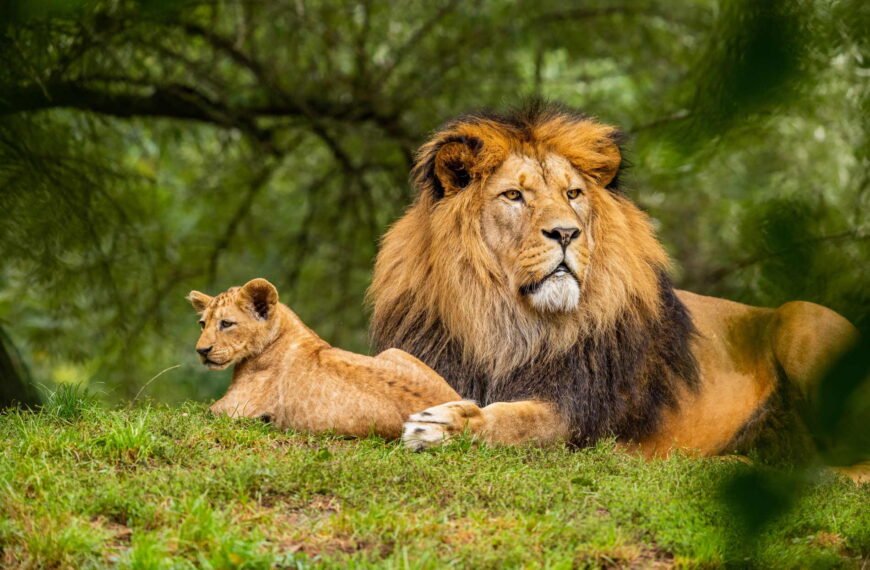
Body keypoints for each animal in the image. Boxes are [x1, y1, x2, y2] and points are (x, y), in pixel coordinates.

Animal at [186, 278, 460, 438]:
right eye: (202, 324)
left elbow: (194, 413)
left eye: (226, 323)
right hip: (393, 351)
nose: (201, 350)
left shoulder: (232, 409)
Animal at [368, 101, 861, 471]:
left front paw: (444, 426)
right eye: (514, 196)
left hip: (802, 318)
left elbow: (514, 421)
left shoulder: (577, 412)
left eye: (572, 194)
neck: (506, 321)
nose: (566, 233)